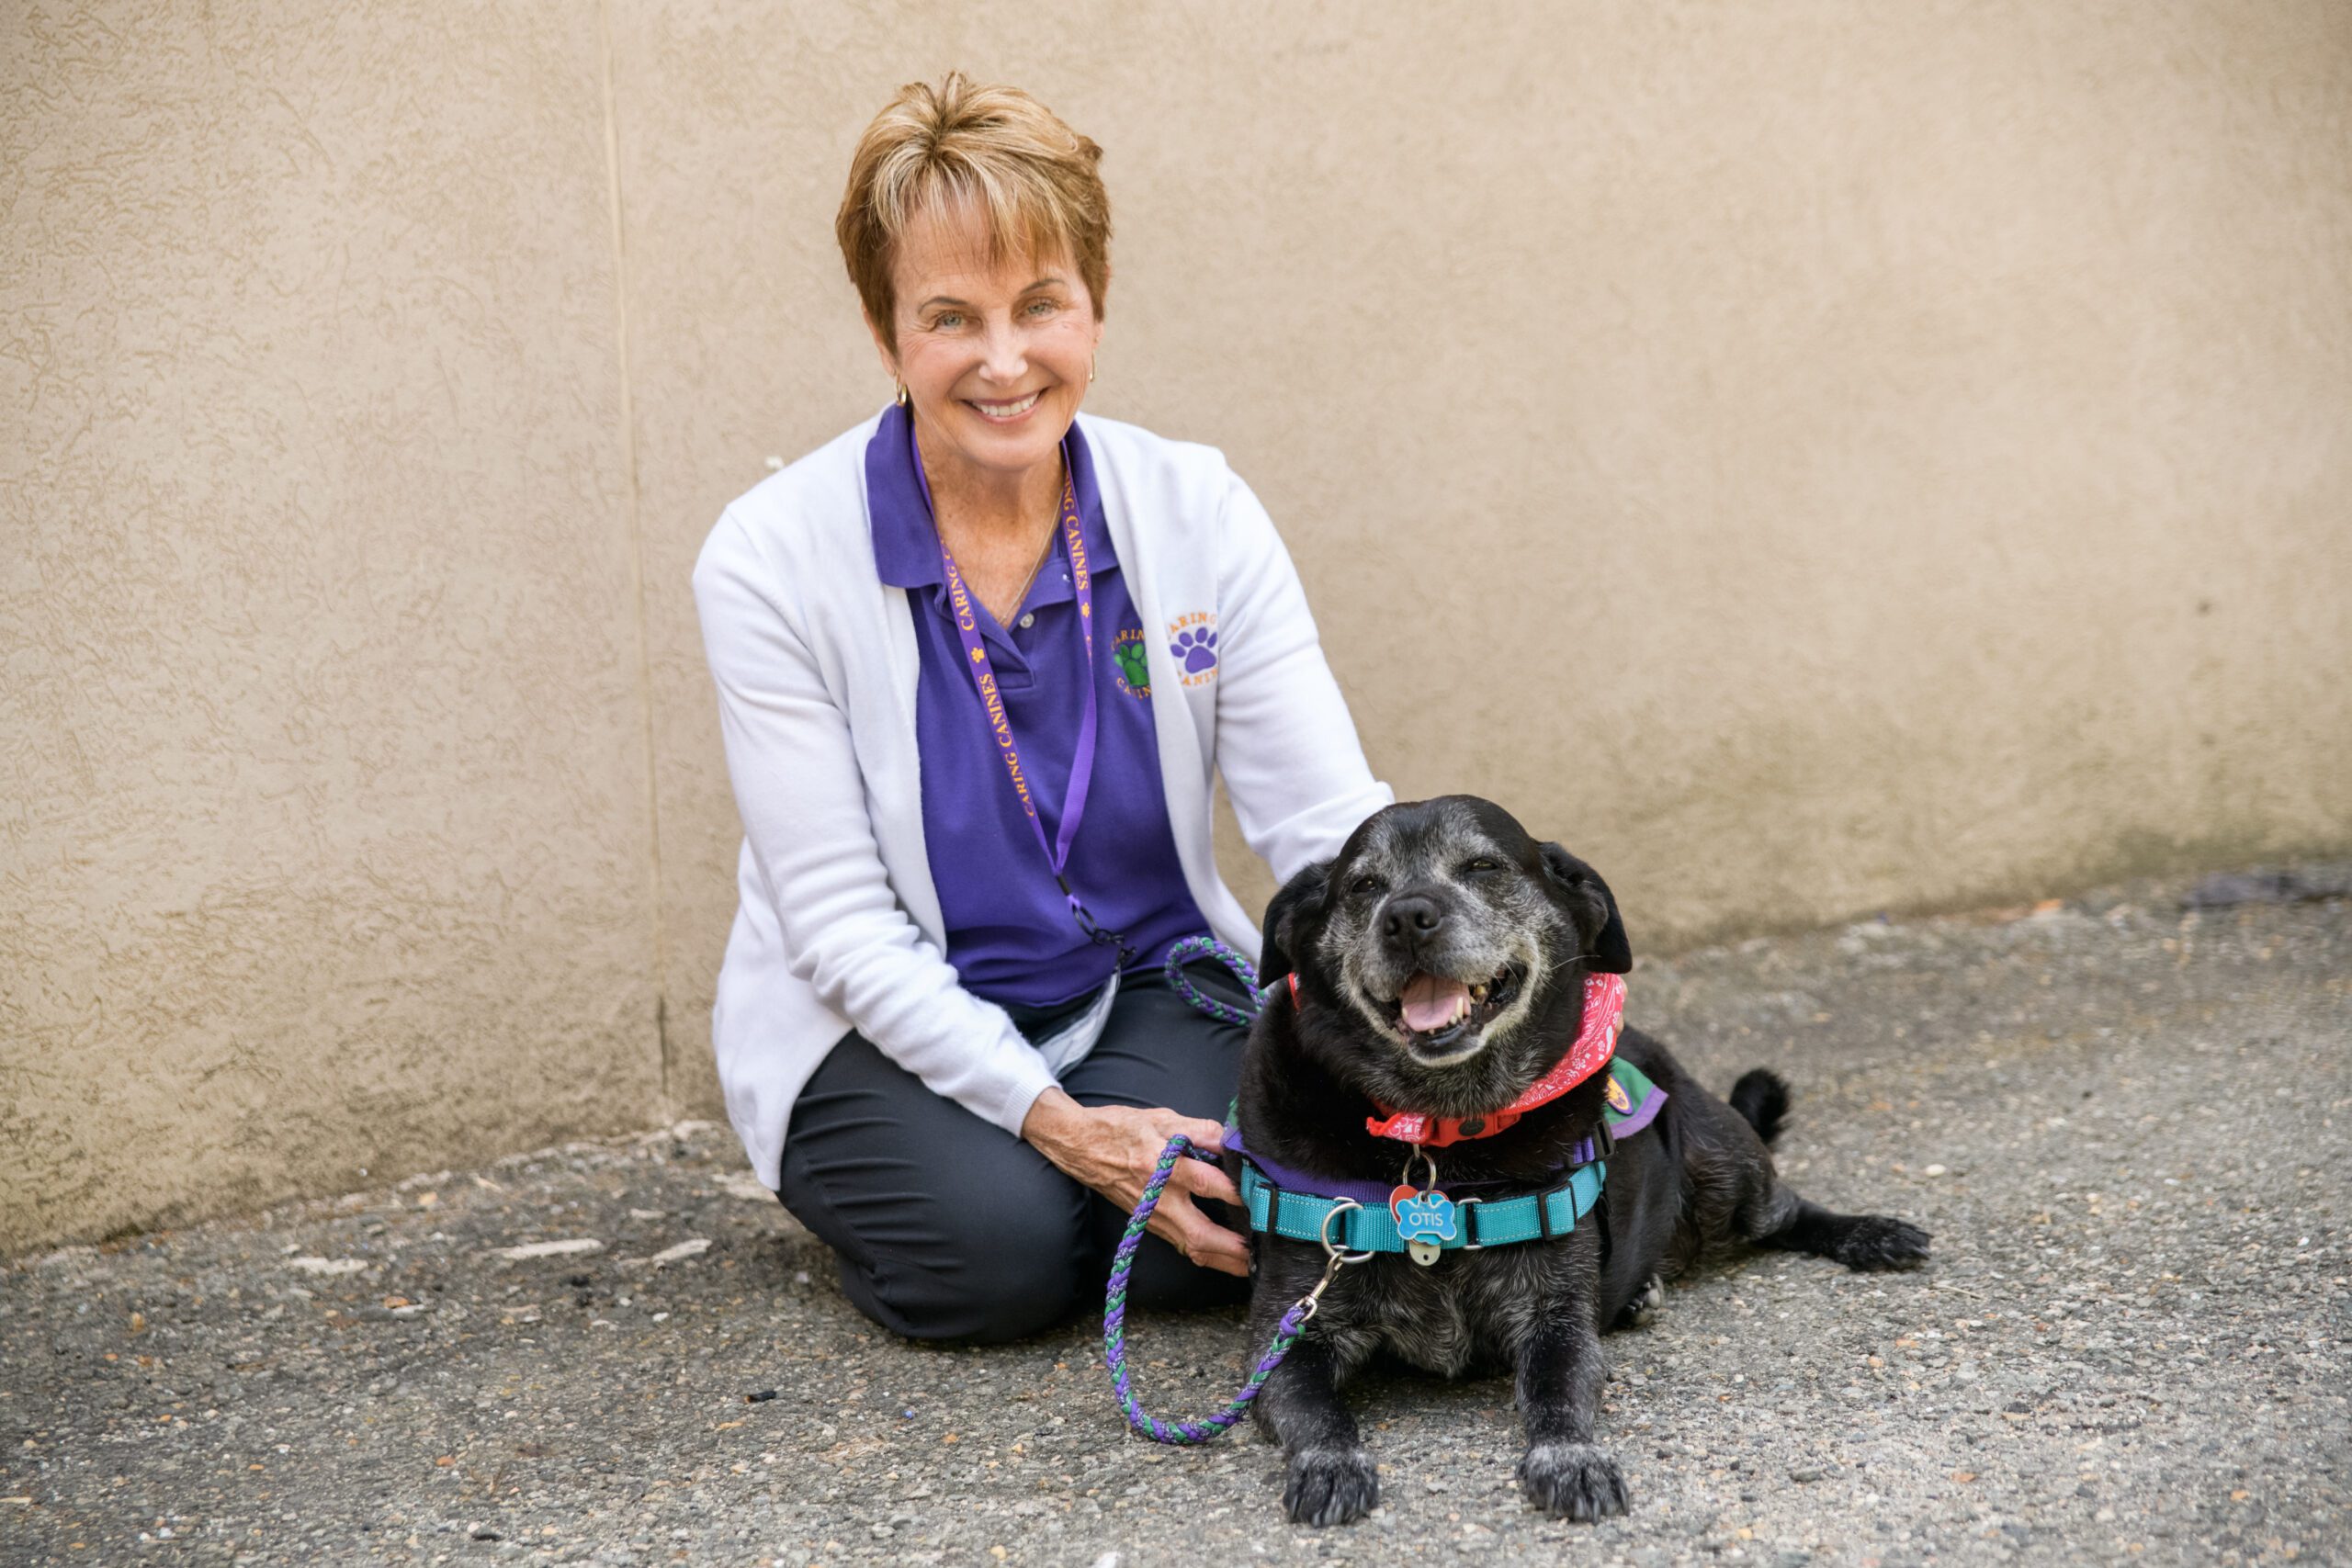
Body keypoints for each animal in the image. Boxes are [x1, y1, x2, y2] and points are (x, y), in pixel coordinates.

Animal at [1232, 799, 1928, 1523]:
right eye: (1364, 886)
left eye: (1484, 866)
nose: (1406, 916)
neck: (1440, 1136)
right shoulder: (1291, 1332)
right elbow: (1316, 1410)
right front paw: (1329, 1463)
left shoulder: (1557, 1318)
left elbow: (1557, 1393)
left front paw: (1570, 1458)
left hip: (1722, 1167)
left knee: (1782, 1208)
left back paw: (1868, 1232)